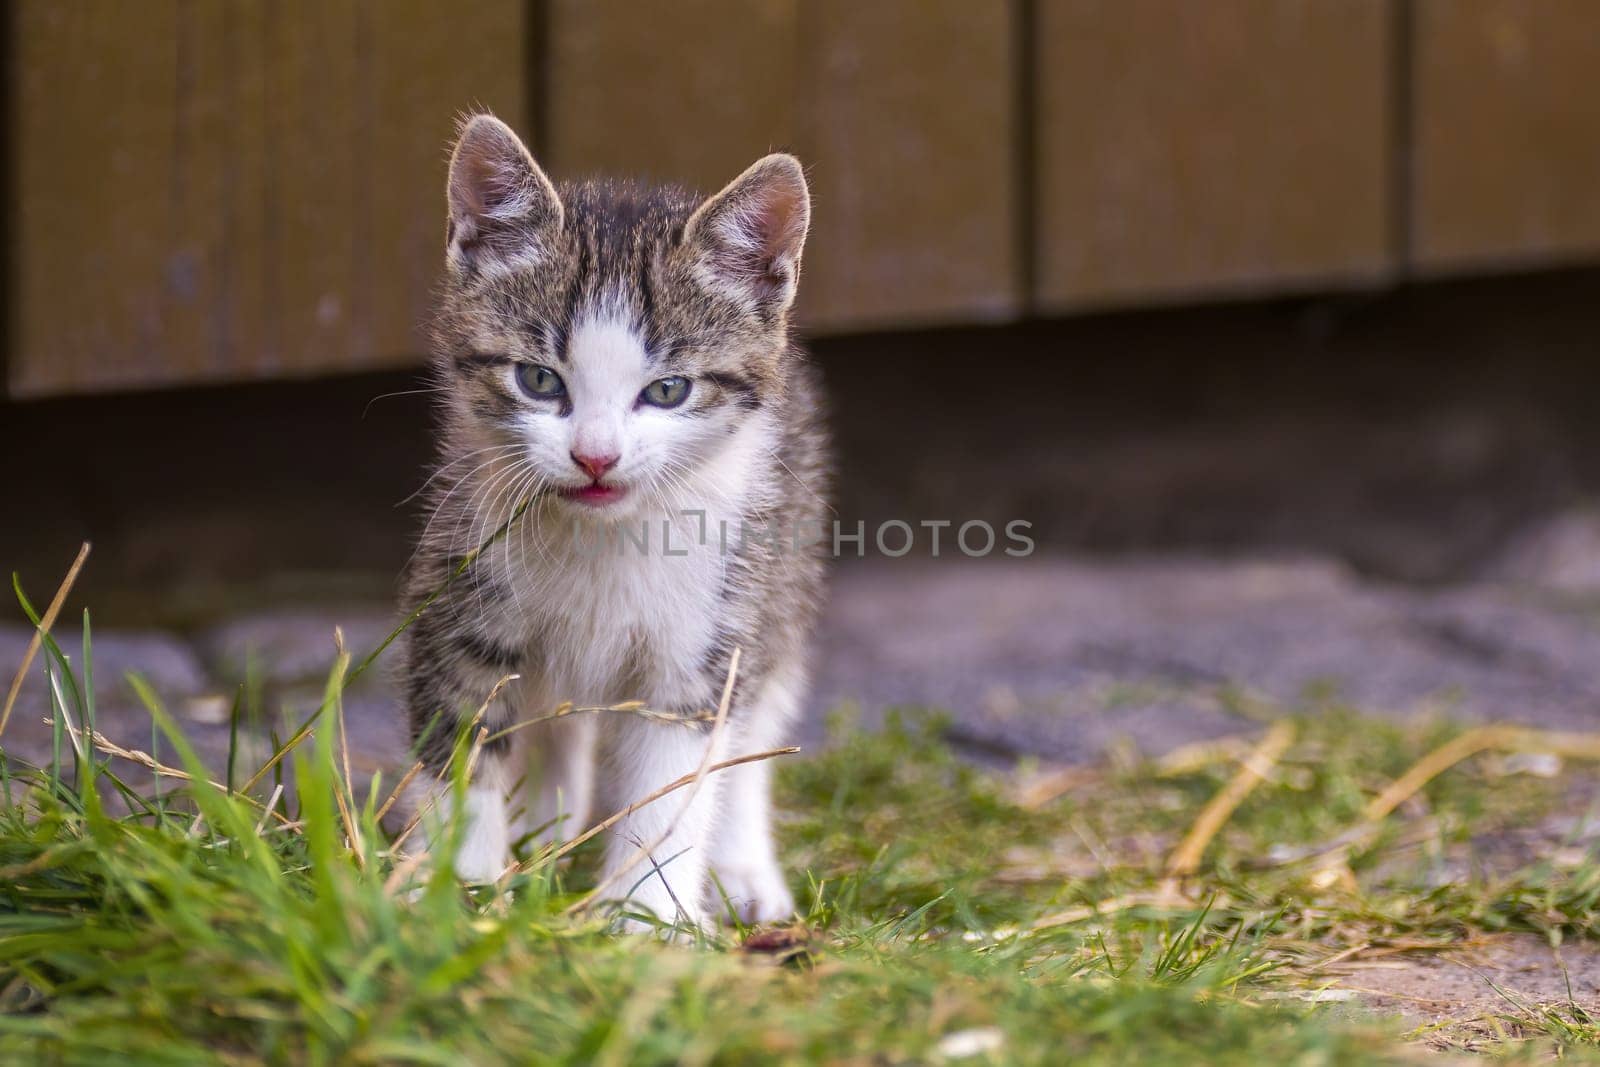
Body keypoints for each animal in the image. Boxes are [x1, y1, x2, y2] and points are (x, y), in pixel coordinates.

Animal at [400, 112, 832, 927]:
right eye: (538, 380)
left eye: (667, 390)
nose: (595, 457)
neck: (605, 540)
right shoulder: (456, 596)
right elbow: (463, 742)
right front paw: (455, 891)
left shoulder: (703, 642)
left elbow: (674, 785)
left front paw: (649, 917)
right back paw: (542, 831)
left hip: (782, 571)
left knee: (756, 723)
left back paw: (743, 868)